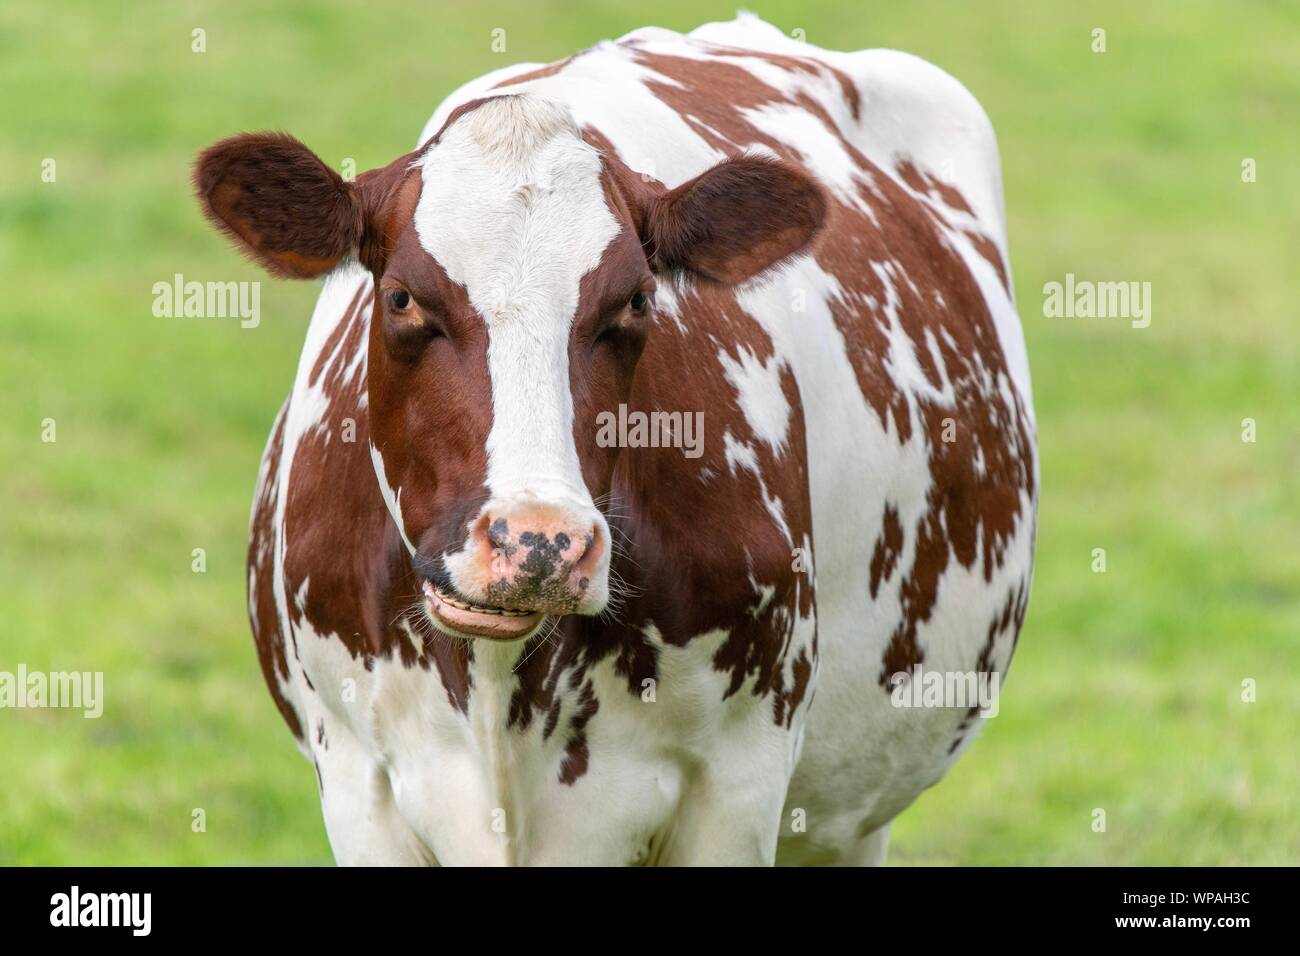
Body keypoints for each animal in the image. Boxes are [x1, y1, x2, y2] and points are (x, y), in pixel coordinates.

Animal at [193, 13, 1036, 865]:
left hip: (849, 815)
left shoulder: (740, 782)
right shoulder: (358, 784)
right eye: (402, 297)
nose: (538, 542)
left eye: (634, 300)